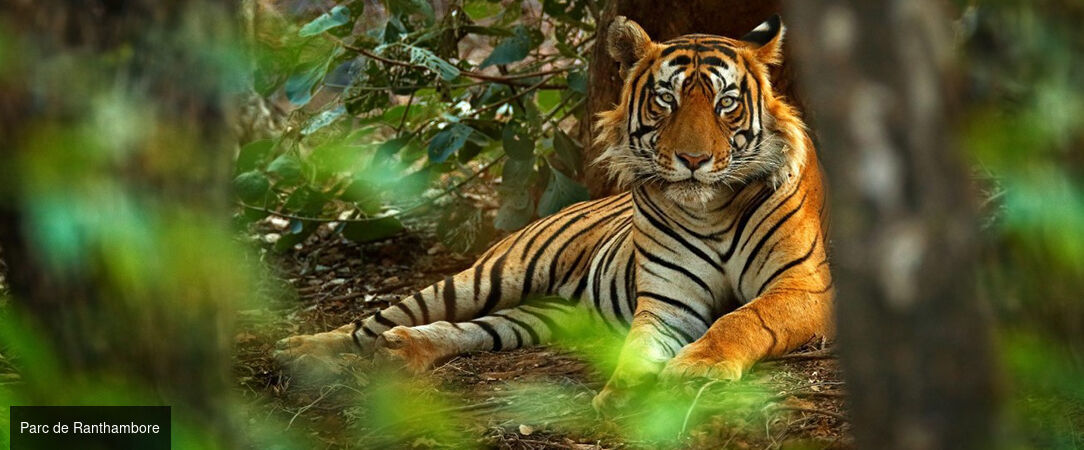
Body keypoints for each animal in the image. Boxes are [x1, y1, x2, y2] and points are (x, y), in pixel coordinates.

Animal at [275, 14, 833, 412]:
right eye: (665, 100)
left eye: (726, 104)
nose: (692, 160)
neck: (710, 210)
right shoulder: (667, 302)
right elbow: (639, 347)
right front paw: (624, 393)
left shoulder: (804, 286)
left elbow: (743, 318)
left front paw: (696, 369)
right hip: (491, 275)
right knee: (376, 320)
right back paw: (302, 349)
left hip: (545, 315)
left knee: (473, 329)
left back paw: (403, 350)